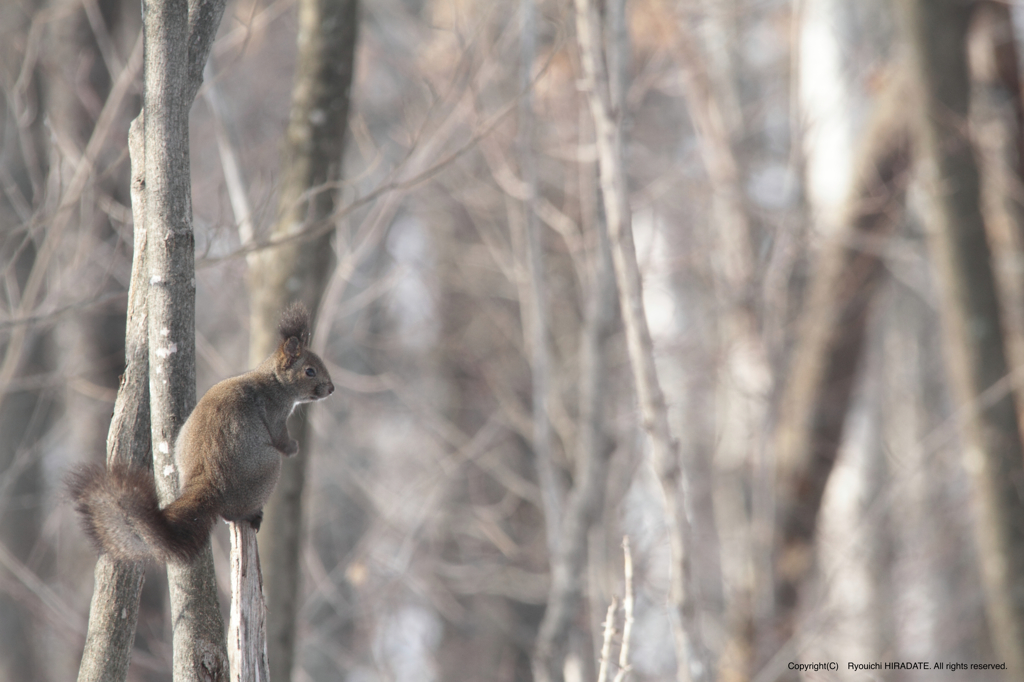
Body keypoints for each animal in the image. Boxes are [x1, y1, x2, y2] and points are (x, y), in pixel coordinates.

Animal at [70, 301, 333, 561]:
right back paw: (252, 515)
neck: (275, 382)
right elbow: (280, 438)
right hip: (268, 468)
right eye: (310, 371)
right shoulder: (275, 413)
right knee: (233, 513)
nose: (331, 389)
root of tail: (208, 483)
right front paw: (293, 448)